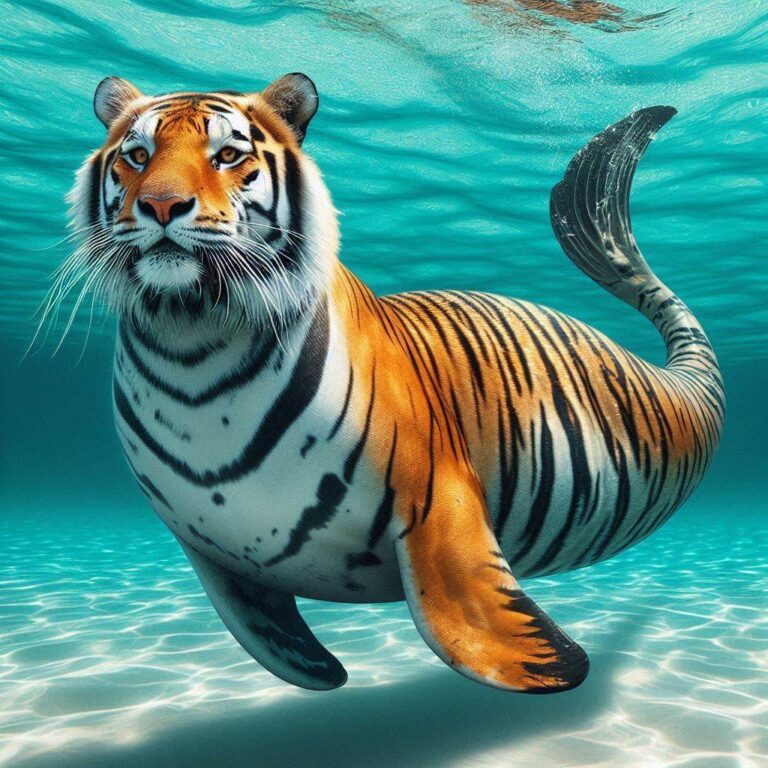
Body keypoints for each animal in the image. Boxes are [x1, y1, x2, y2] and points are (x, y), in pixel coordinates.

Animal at [58, 73, 723, 693]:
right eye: (137, 155)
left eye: (226, 154)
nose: (162, 205)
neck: (190, 343)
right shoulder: (208, 551)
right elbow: (264, 635)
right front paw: (322, 671)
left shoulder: (437, 496)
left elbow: (460, 616)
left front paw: (551, 666)